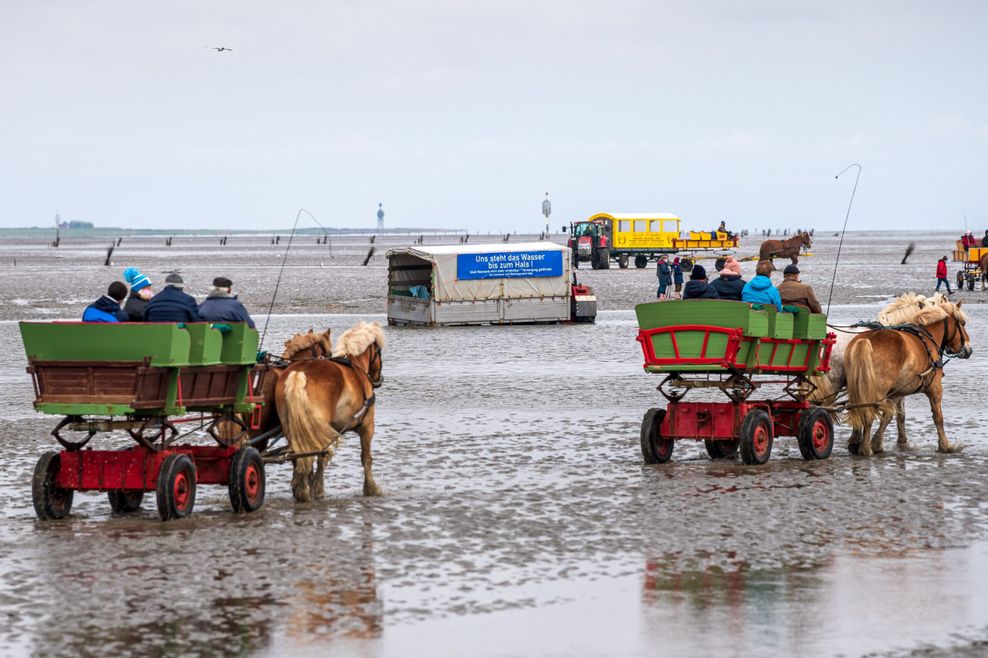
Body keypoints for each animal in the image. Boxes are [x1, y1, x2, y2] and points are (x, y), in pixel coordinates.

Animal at [278, 320, 390, 500]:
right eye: (379, 351)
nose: (379, 378)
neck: (356, 366)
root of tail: (299, 373)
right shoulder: (367, 426)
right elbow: (366, 458)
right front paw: (370, 488)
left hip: (292, 429)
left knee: (299, 457)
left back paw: (301, 489)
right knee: (315, 455)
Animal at [840, 300, 972, 454]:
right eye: (963, 323)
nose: (968, 350)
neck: (928, 338)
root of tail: (866, 340)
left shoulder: (896, 393)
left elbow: (889, 417)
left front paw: (878, 443)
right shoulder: (935, 388)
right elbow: (938, 417)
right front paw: (945, 445)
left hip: (858, 386)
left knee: (857, 409)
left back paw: (856, 443)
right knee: (868, 413)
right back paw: (865, 449)